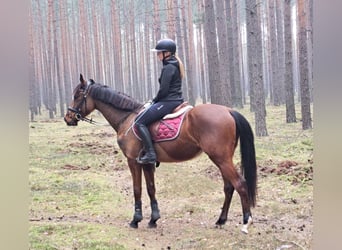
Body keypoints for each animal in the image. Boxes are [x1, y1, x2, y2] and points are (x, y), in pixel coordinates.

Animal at [63, 75, 256, 233]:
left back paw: (246, 222)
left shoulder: (133, 161)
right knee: (229, 187)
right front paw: (153, 220)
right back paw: (220, 220)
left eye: (77, 96)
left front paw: (135, 220)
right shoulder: (147, 163)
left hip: (221, 159)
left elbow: (137, 189)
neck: (128, 118)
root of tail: (228, 110)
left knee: (240, 184)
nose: (68, 118)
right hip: (222, 159)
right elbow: (151, 188)